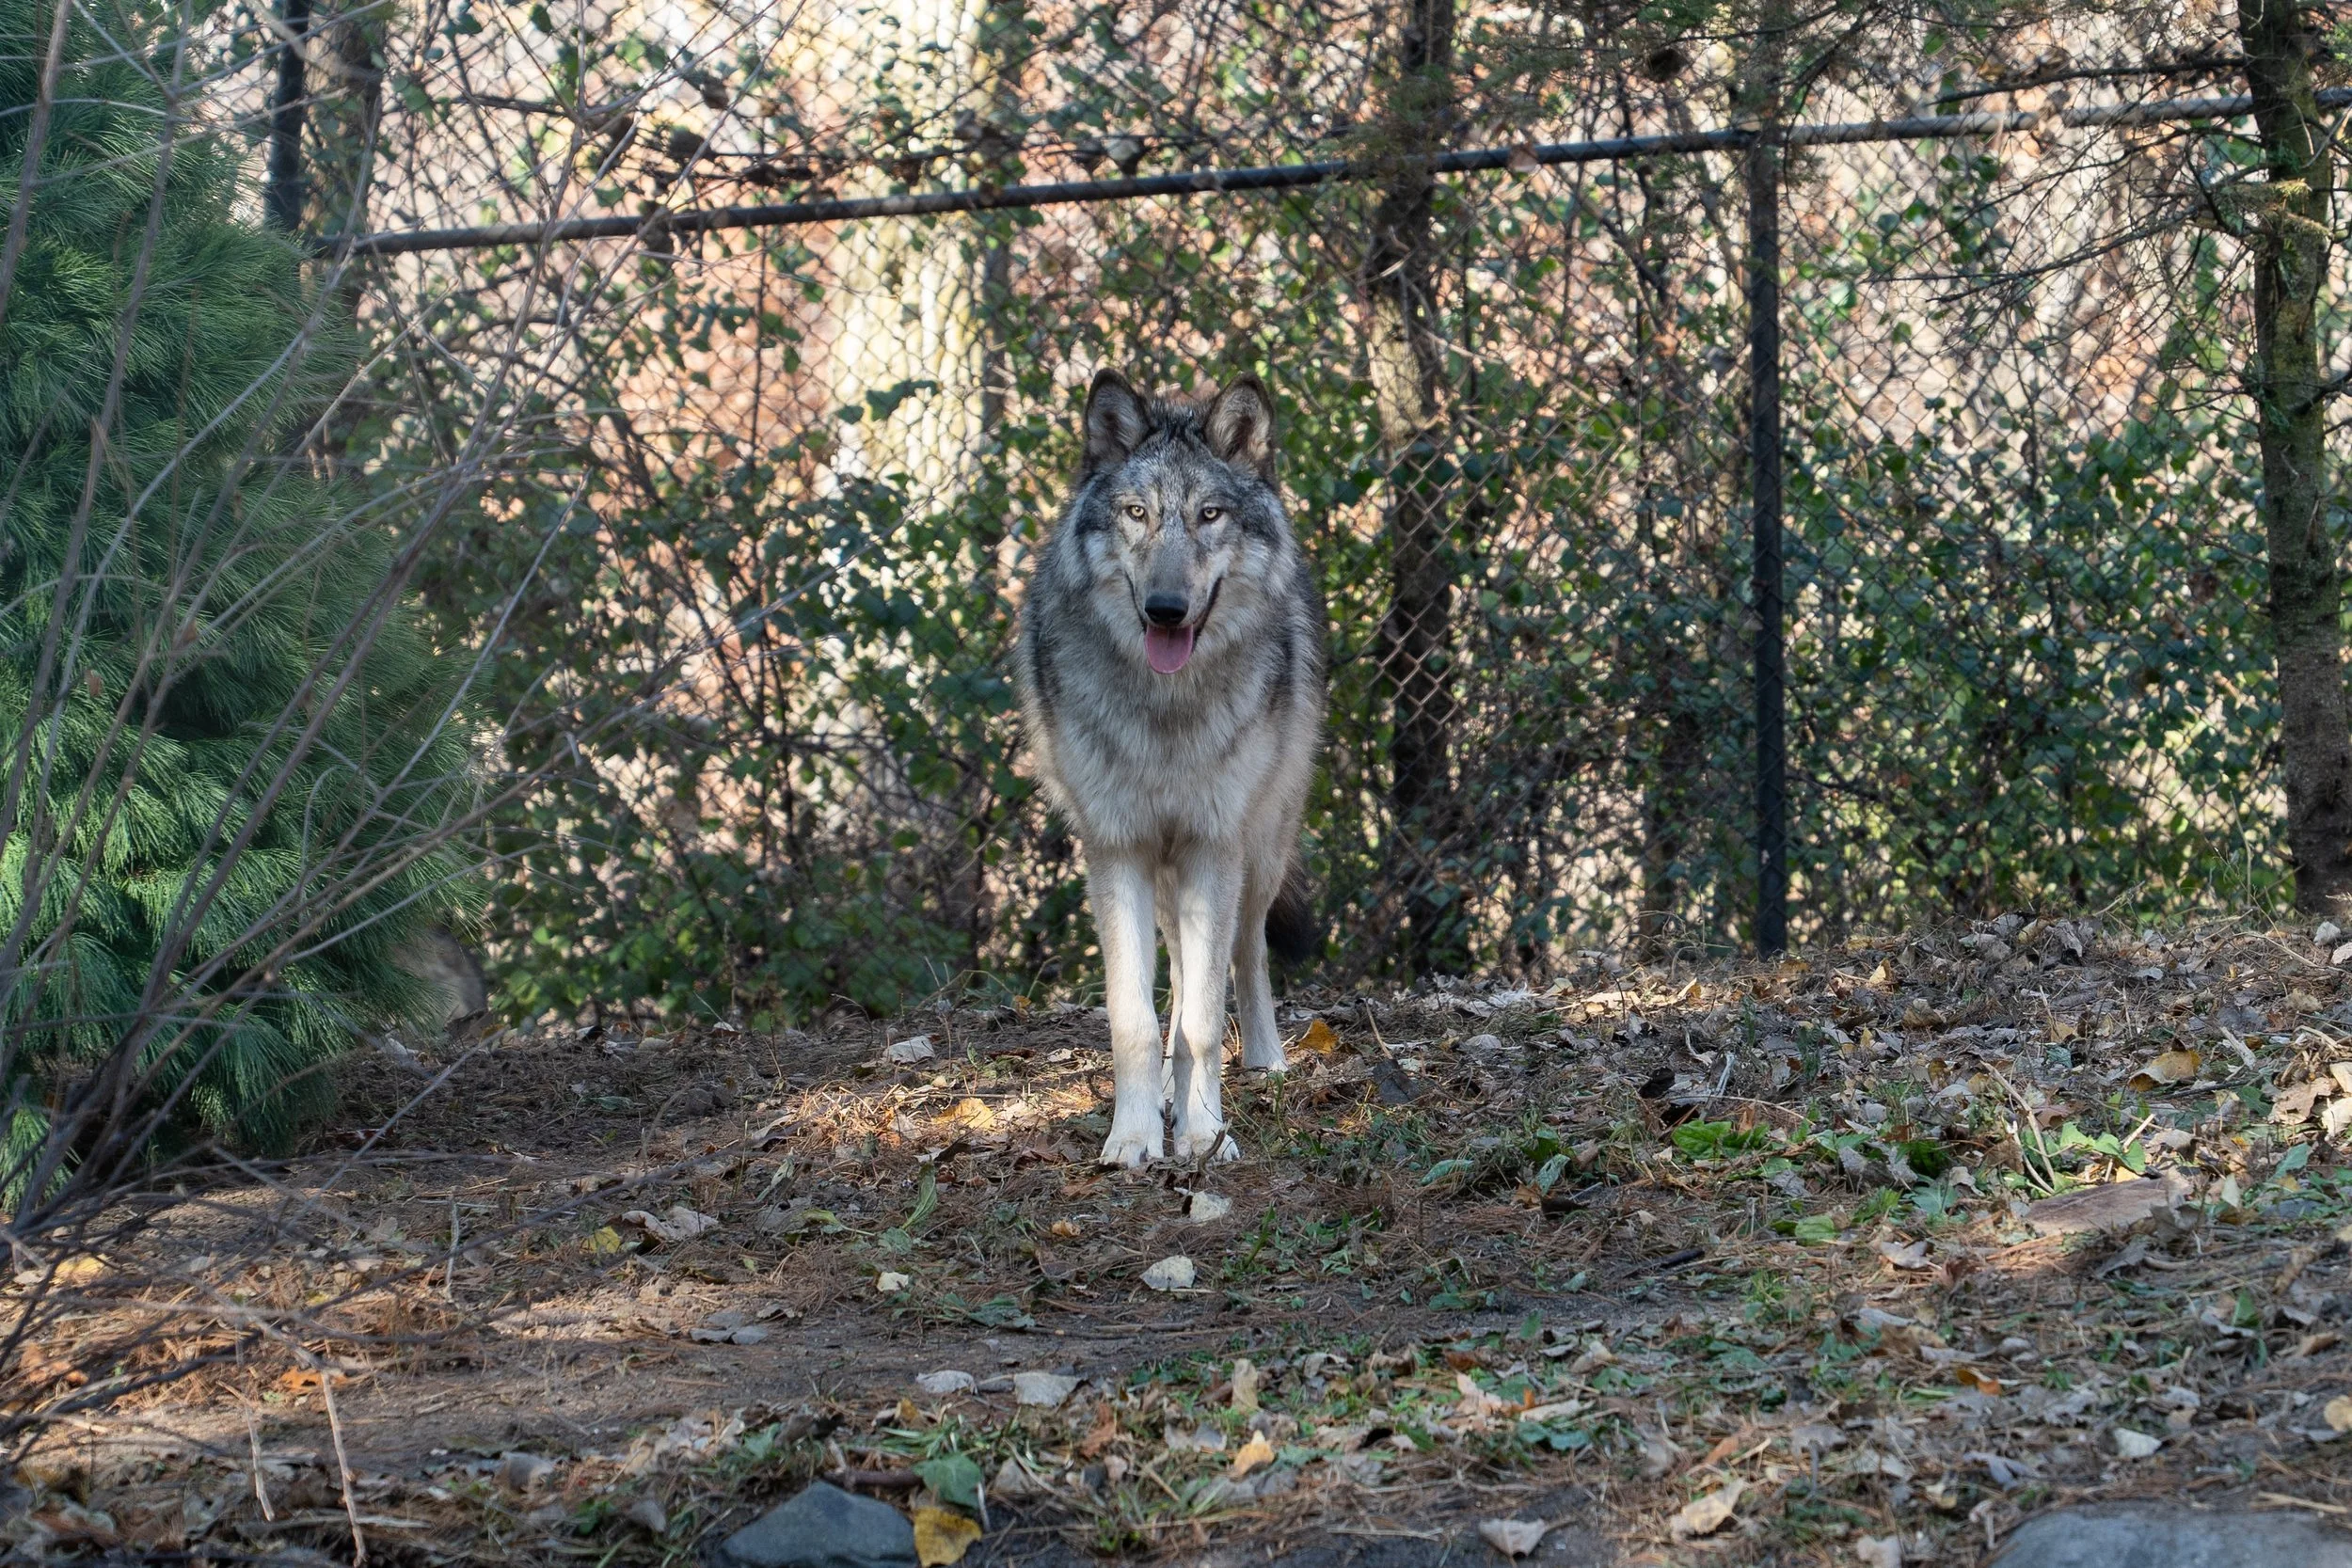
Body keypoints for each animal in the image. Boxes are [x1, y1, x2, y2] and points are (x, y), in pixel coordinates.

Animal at [1017, 369, 1327, 1167]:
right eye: (1137, 514)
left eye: (1209, 514)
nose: (1164, 608)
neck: (1166, 708)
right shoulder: (1118, 847)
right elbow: (1134, 1016)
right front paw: (1133, 1136)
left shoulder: (1213, 845)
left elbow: (1203, 1018)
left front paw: (1205, 1133)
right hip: (1164, 876)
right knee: (1183, 972)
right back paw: (1164, 1088)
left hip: (1259, 848)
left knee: (1243, 955)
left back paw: (1264, 1060)